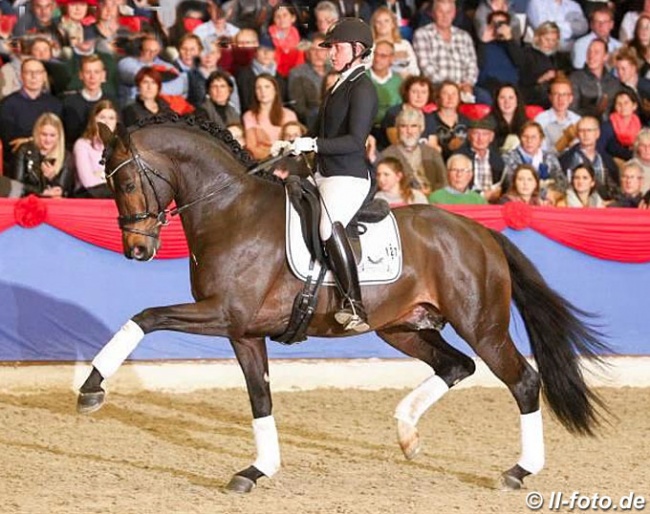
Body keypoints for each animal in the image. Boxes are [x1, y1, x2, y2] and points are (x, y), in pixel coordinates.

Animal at [77, 115, 608, 492]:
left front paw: (91, 389)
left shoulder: (224, 312)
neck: (231, 209)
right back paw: (407, 434)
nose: (137, 250)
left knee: (522, 381)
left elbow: (145, 318)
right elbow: (260, 397)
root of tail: (480, 232)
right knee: (456, 366)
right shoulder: (244, 332)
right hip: (403, 327)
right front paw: (258, 470)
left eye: (127, 183)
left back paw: (519, 470)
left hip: (482, 326)